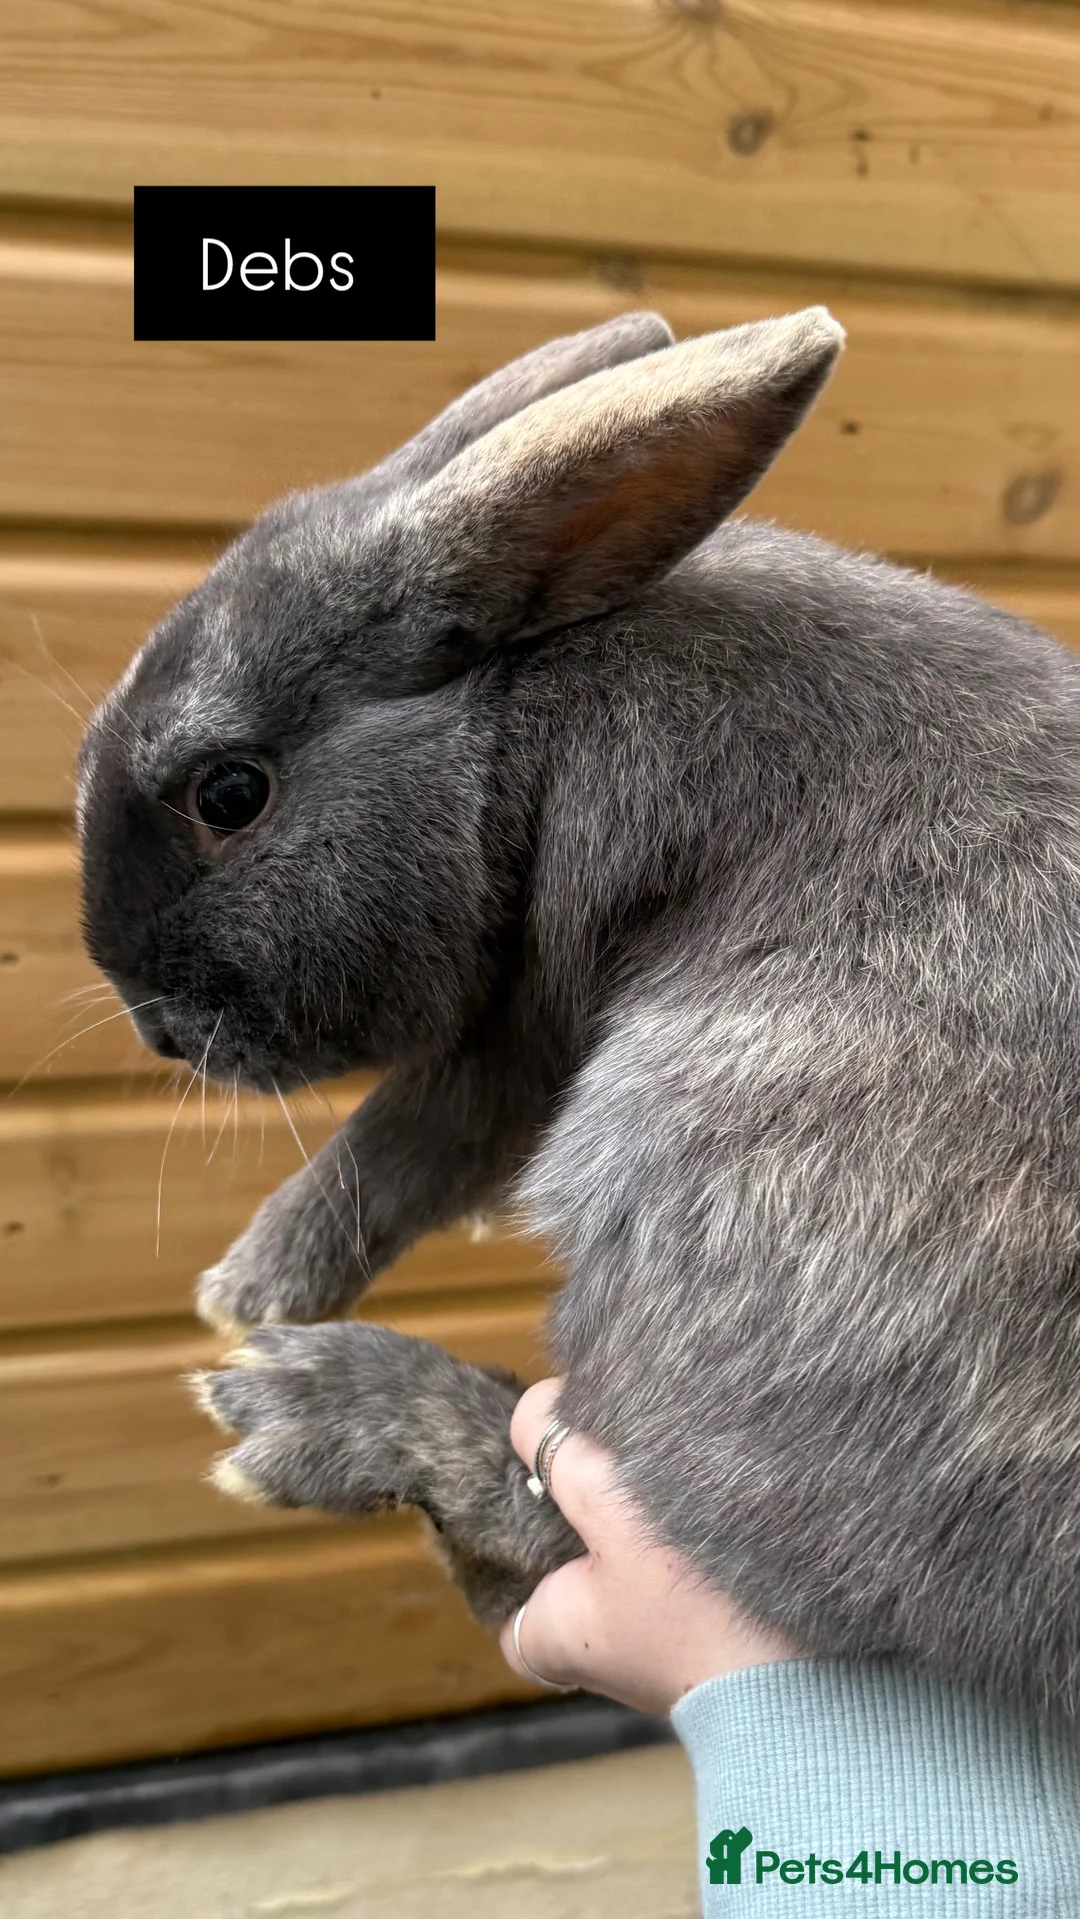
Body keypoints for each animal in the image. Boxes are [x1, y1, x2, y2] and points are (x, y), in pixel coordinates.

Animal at [78, 305, 1080, 1717]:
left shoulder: (525, 1016)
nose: (155, 1027)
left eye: (230, 792)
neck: (512, 716)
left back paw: (306, 1405)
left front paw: (249, 1290)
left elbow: (405, 1143)